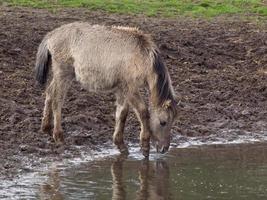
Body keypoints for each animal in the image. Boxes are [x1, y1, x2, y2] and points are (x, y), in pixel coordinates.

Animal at [35, 21, 178, 156]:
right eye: (163, 122)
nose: (164, 149)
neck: (142, 55)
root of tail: (52, 35)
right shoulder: (130, 89)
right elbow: (143, 112)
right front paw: (144, 146)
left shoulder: (122, 90)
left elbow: (122, 114)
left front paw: (120, 144)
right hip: (63, 74)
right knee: (57, 100)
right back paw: (58, 136)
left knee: (49, 92)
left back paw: (46, 127)